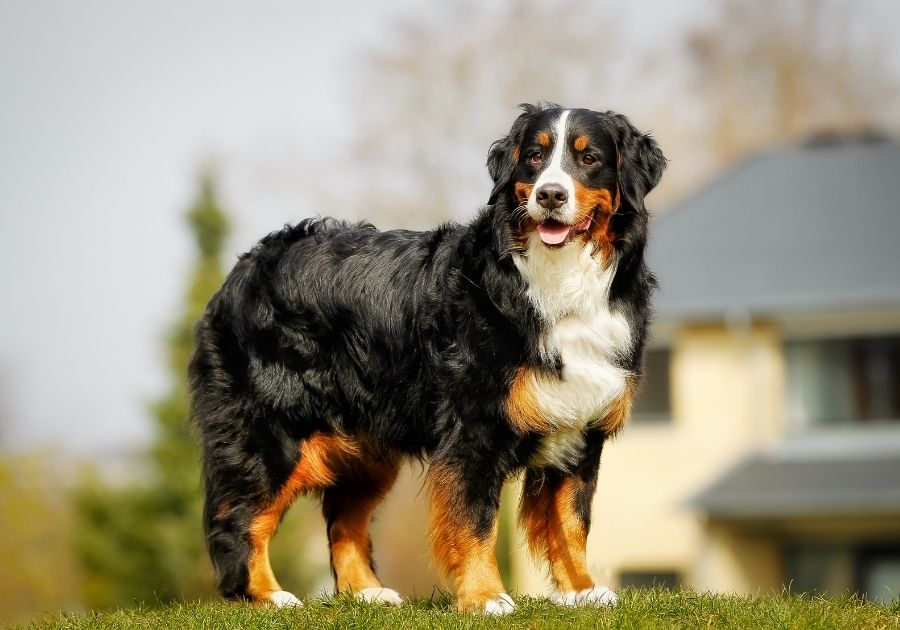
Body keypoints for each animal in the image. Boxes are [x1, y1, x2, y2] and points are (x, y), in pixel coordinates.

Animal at [190, 103, 664, 616]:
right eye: (535, 157)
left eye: (589, 158)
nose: (551, 194)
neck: (558, 282)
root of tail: (245, 266)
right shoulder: (474, 429)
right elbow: (476, 519)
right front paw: (486, 597)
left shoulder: (580, 427)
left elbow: (572, 521)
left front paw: (582, 591)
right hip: (273, 432)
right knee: (239, 519)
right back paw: (267, 595)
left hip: (367, 446)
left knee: (344, 519)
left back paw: (367, 592)